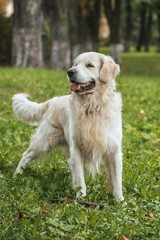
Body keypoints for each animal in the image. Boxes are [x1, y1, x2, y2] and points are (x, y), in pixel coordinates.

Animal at [13, 52, 124, 201]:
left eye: (90, 65)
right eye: (75, 64)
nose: (70, 71)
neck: (92, 106)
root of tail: (53, 100)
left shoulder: (114, 149)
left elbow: (117, 180)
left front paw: (120, 201)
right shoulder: (76, 147)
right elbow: (81, 179)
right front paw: (81, 199)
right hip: (45, 142)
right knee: (26, 155)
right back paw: (16, 176)